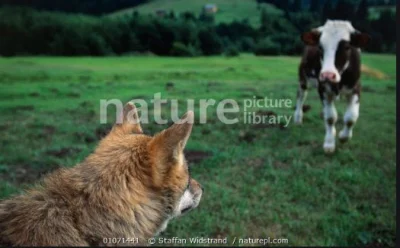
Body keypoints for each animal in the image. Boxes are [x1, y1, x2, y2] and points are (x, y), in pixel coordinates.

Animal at [292, 20, 370, 153]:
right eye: (320, 47)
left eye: (347, 47)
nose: (328, 75)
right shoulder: (322, 89)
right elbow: (330, 117)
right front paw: (329, 143)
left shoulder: (356, 88)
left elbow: (351, 117)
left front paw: (343, 136)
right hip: (303, 79)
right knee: (301, 96)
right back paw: (298, 118)